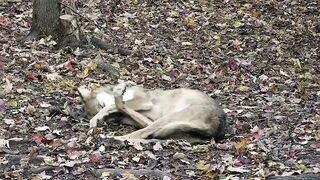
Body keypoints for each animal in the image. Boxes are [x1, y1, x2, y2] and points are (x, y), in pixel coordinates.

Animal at [78, 82, 226, 143]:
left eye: (101, 104)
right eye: (110, 119)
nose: (115, 118)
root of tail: (217, 128)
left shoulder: (144, 101)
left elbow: (112, 105)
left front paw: (95, 119)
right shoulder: (144, 117)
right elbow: (119, 106)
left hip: (170, 117)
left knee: (138, 134)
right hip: (168, 122)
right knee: (141, 133)